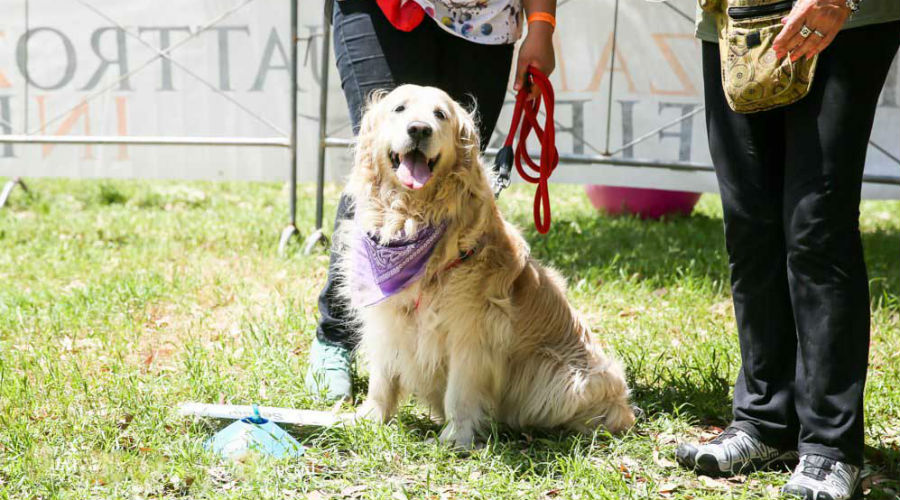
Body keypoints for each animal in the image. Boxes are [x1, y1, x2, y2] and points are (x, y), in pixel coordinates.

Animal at [334, 84, 636, 448]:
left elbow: (460, 392)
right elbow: (383, 378)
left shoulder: (473, 331)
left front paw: (456, 438)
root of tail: (626, 409)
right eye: (399, 109)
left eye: (440, 114)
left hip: (564, 375)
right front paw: (369, 418)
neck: (412, 217)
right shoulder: (388, 319)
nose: (419, 129)